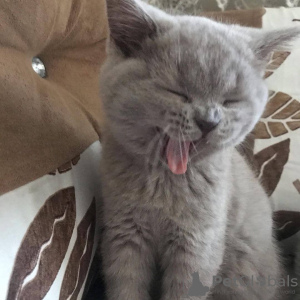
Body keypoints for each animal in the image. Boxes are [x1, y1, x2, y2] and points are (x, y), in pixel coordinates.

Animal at [99, 1, 300, 298]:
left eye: (230, 101)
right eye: (178, 92)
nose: (209, 121)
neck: (164, 185)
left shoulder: (198, 244)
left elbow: (186, 289)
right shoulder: (124, 233)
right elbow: (126, 286)